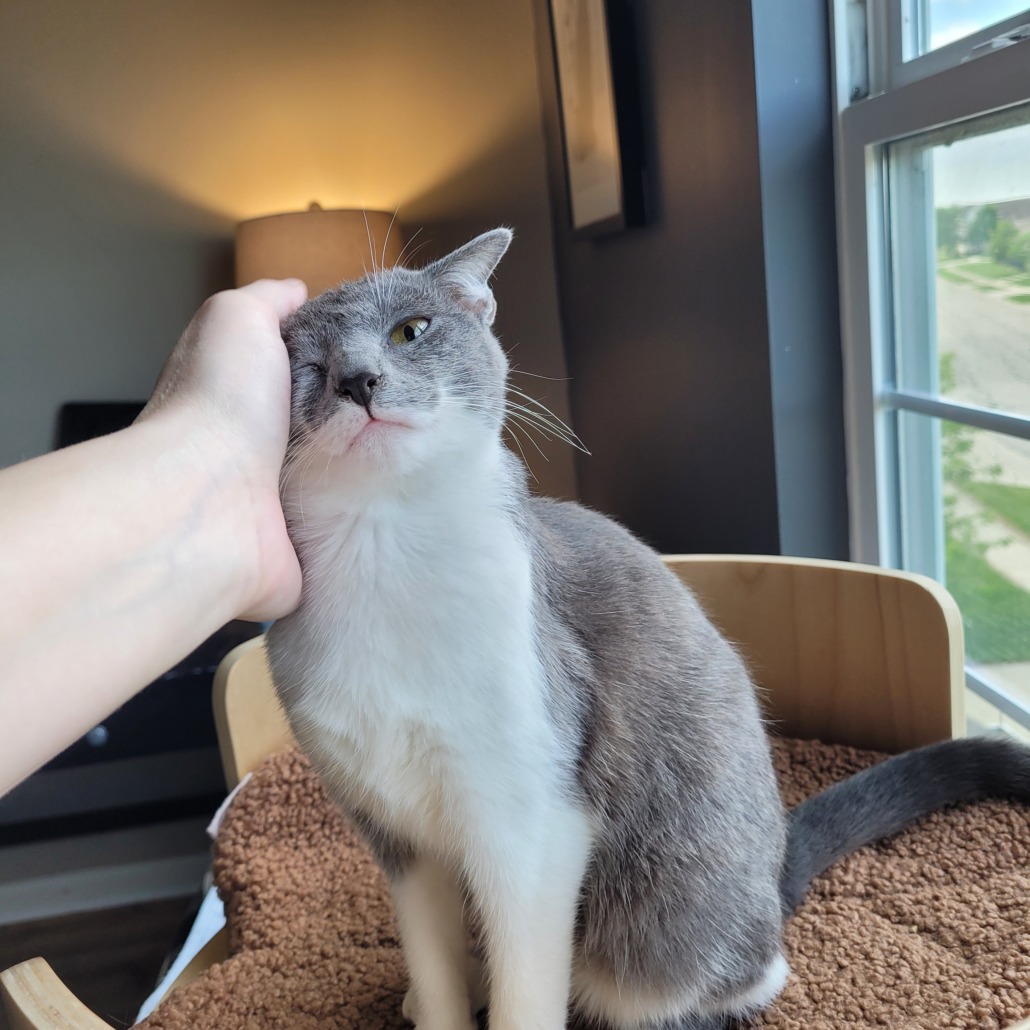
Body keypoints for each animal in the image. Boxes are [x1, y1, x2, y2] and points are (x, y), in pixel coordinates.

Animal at [265, 228, 1030, 1030]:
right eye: (305, 364)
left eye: (410, 330)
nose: (359, 381)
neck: (387, 559)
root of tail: (776, 864)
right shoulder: (394, 834)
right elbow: (433, 957)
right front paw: (441, 998)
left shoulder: (532, 817)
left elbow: (524, 989)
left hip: (669, 923)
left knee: (725, 974)